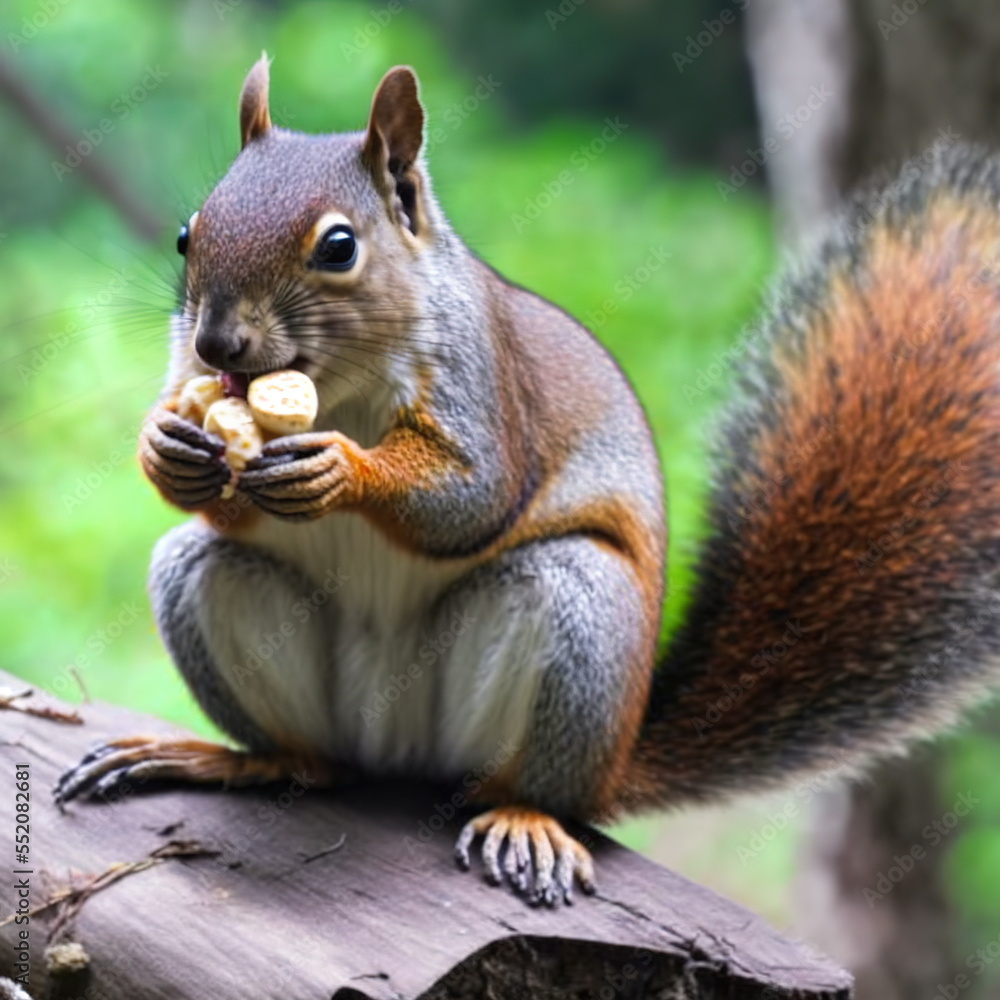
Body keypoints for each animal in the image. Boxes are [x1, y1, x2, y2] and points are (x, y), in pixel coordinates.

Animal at [55, 54, 1000, 907]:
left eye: (339, 246)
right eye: (189, 233)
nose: (218, 343)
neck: (337, 385)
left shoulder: (485, 383)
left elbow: (472, 497)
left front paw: (343, 469)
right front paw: (165, 445)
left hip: (579, 622)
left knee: (530, 777)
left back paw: (525, 819)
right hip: (205, 588)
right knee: (305, 755)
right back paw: (221, 758)